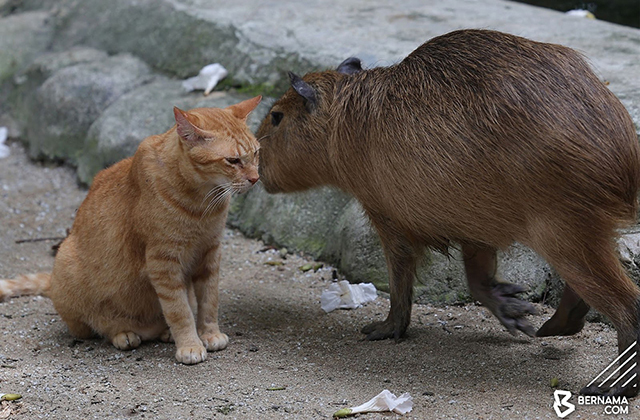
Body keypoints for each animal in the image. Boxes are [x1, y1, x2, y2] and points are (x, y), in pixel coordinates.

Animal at [0, 96, 262, 364]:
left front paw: (209, 334)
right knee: (97, 328)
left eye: (256, 153)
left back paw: (164, 332)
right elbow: (179, 311)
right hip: (66, 264)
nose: (255, 178)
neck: (202, 204)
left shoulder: (210, 253)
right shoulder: (163, 262)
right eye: (233, 161)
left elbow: (209, 302)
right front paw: (189, 344)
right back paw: (124, 333)